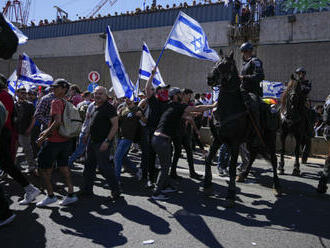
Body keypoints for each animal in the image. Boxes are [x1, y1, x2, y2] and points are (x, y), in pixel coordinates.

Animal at [204, 50, 282, 207]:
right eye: (216, 63)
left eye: (226, 65)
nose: (210, 78)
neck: (228, 108)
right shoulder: (217, 140)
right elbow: (208, 159)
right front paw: (207, 185)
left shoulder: (234, 143)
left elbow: (232, 168)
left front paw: (230, 194)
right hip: (251, 140)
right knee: (252, 155)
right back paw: (243, 175)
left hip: (269, 139)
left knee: (273, 159)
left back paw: (276, 187)